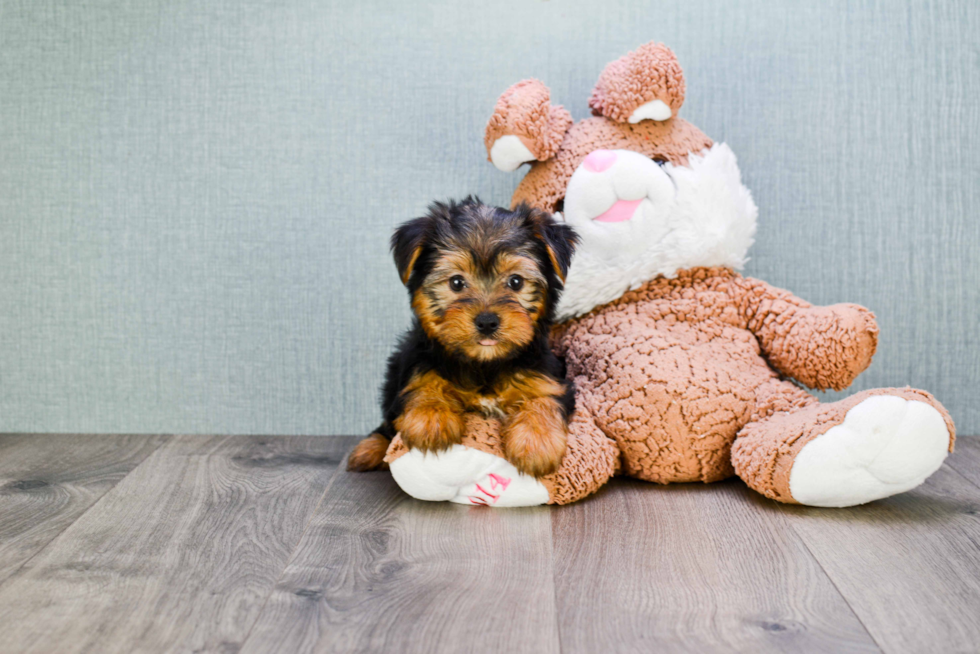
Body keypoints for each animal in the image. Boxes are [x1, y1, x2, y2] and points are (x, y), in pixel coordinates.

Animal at [348, 197, 580, 480]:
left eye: (516, 281)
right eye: (456, 282)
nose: (487, 322)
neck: (484, 364)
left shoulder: (546, 376)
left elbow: (544, 399)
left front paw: (536, 441)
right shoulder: (418, 363)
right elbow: (423, 385)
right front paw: (430, 418)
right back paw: (371, 448)